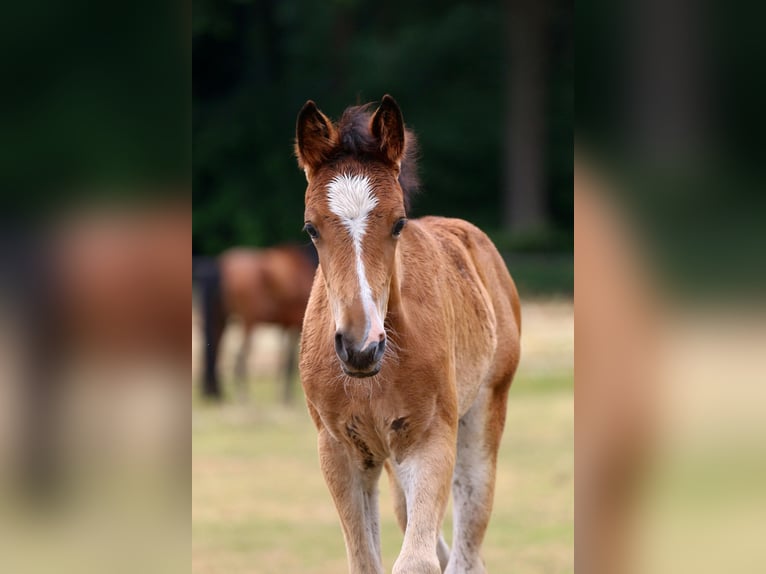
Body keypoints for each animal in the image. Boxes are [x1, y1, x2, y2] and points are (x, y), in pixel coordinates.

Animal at [196, 244, 317, 401]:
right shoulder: (295, 323)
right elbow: (289, 361)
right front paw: (286, 396)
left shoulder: (285, 325)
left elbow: (283, 359)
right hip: (249, 322)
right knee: (240, 355)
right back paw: (243, 395)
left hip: (222, 320)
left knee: (217, 347)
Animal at [295, 95, 521, 573]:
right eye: (311, 227)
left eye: (399, 223)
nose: (360, 348)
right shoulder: (339, 451)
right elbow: (366, 560)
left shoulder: (431, 438)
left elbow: (416, 561)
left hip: (482, 418)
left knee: (468, 546)